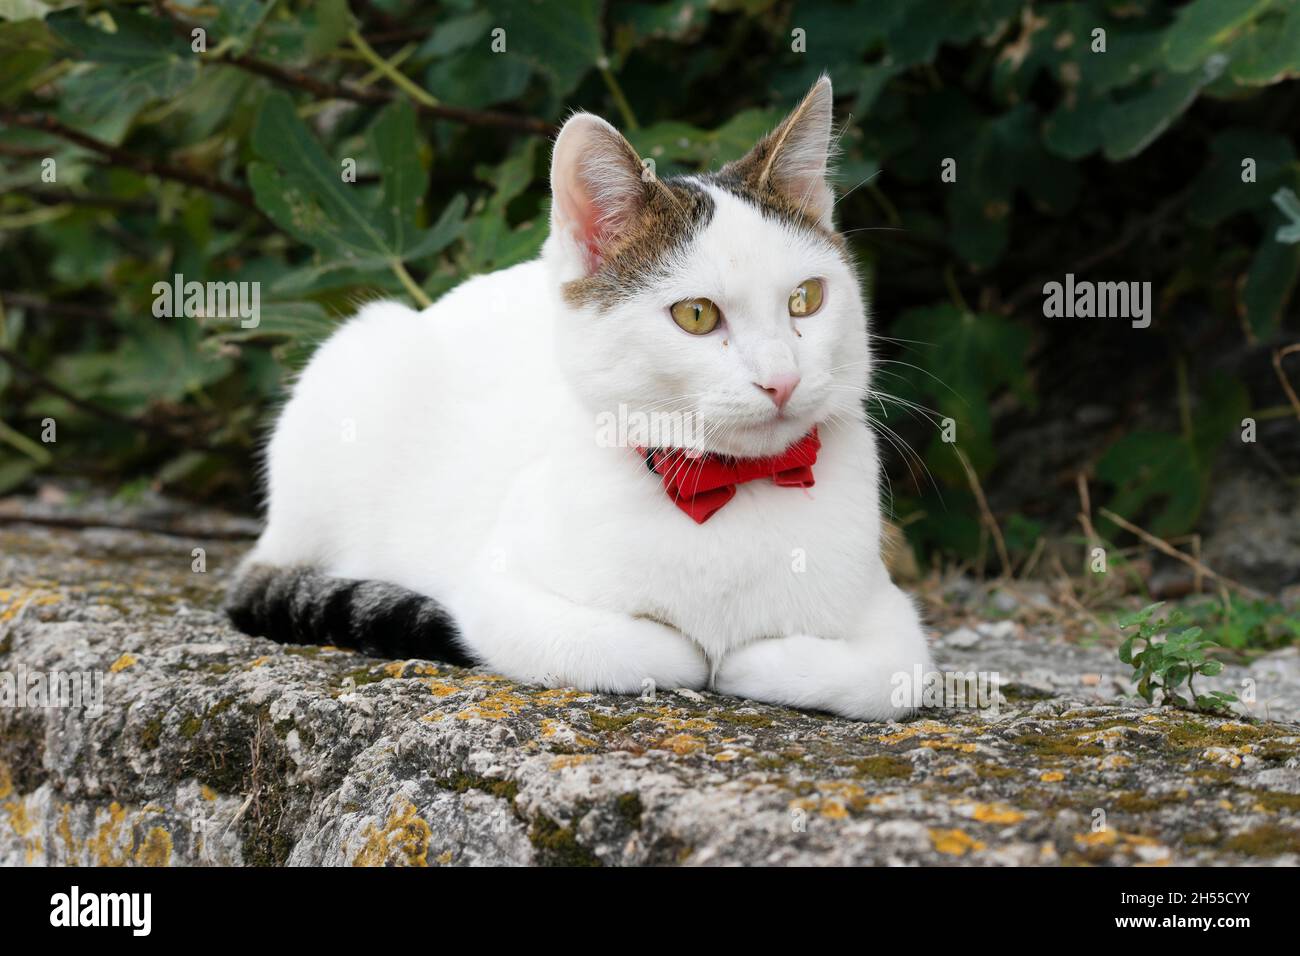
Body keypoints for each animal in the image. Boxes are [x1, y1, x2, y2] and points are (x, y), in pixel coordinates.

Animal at [223, 76, 935, 717]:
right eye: (697, 315)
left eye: (806, 299)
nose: (781, 379)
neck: (729, 487)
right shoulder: (497, 596)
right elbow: (645, 650)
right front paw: (710, 656)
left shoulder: (892, 612)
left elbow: (892, 679)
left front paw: (756, 657)